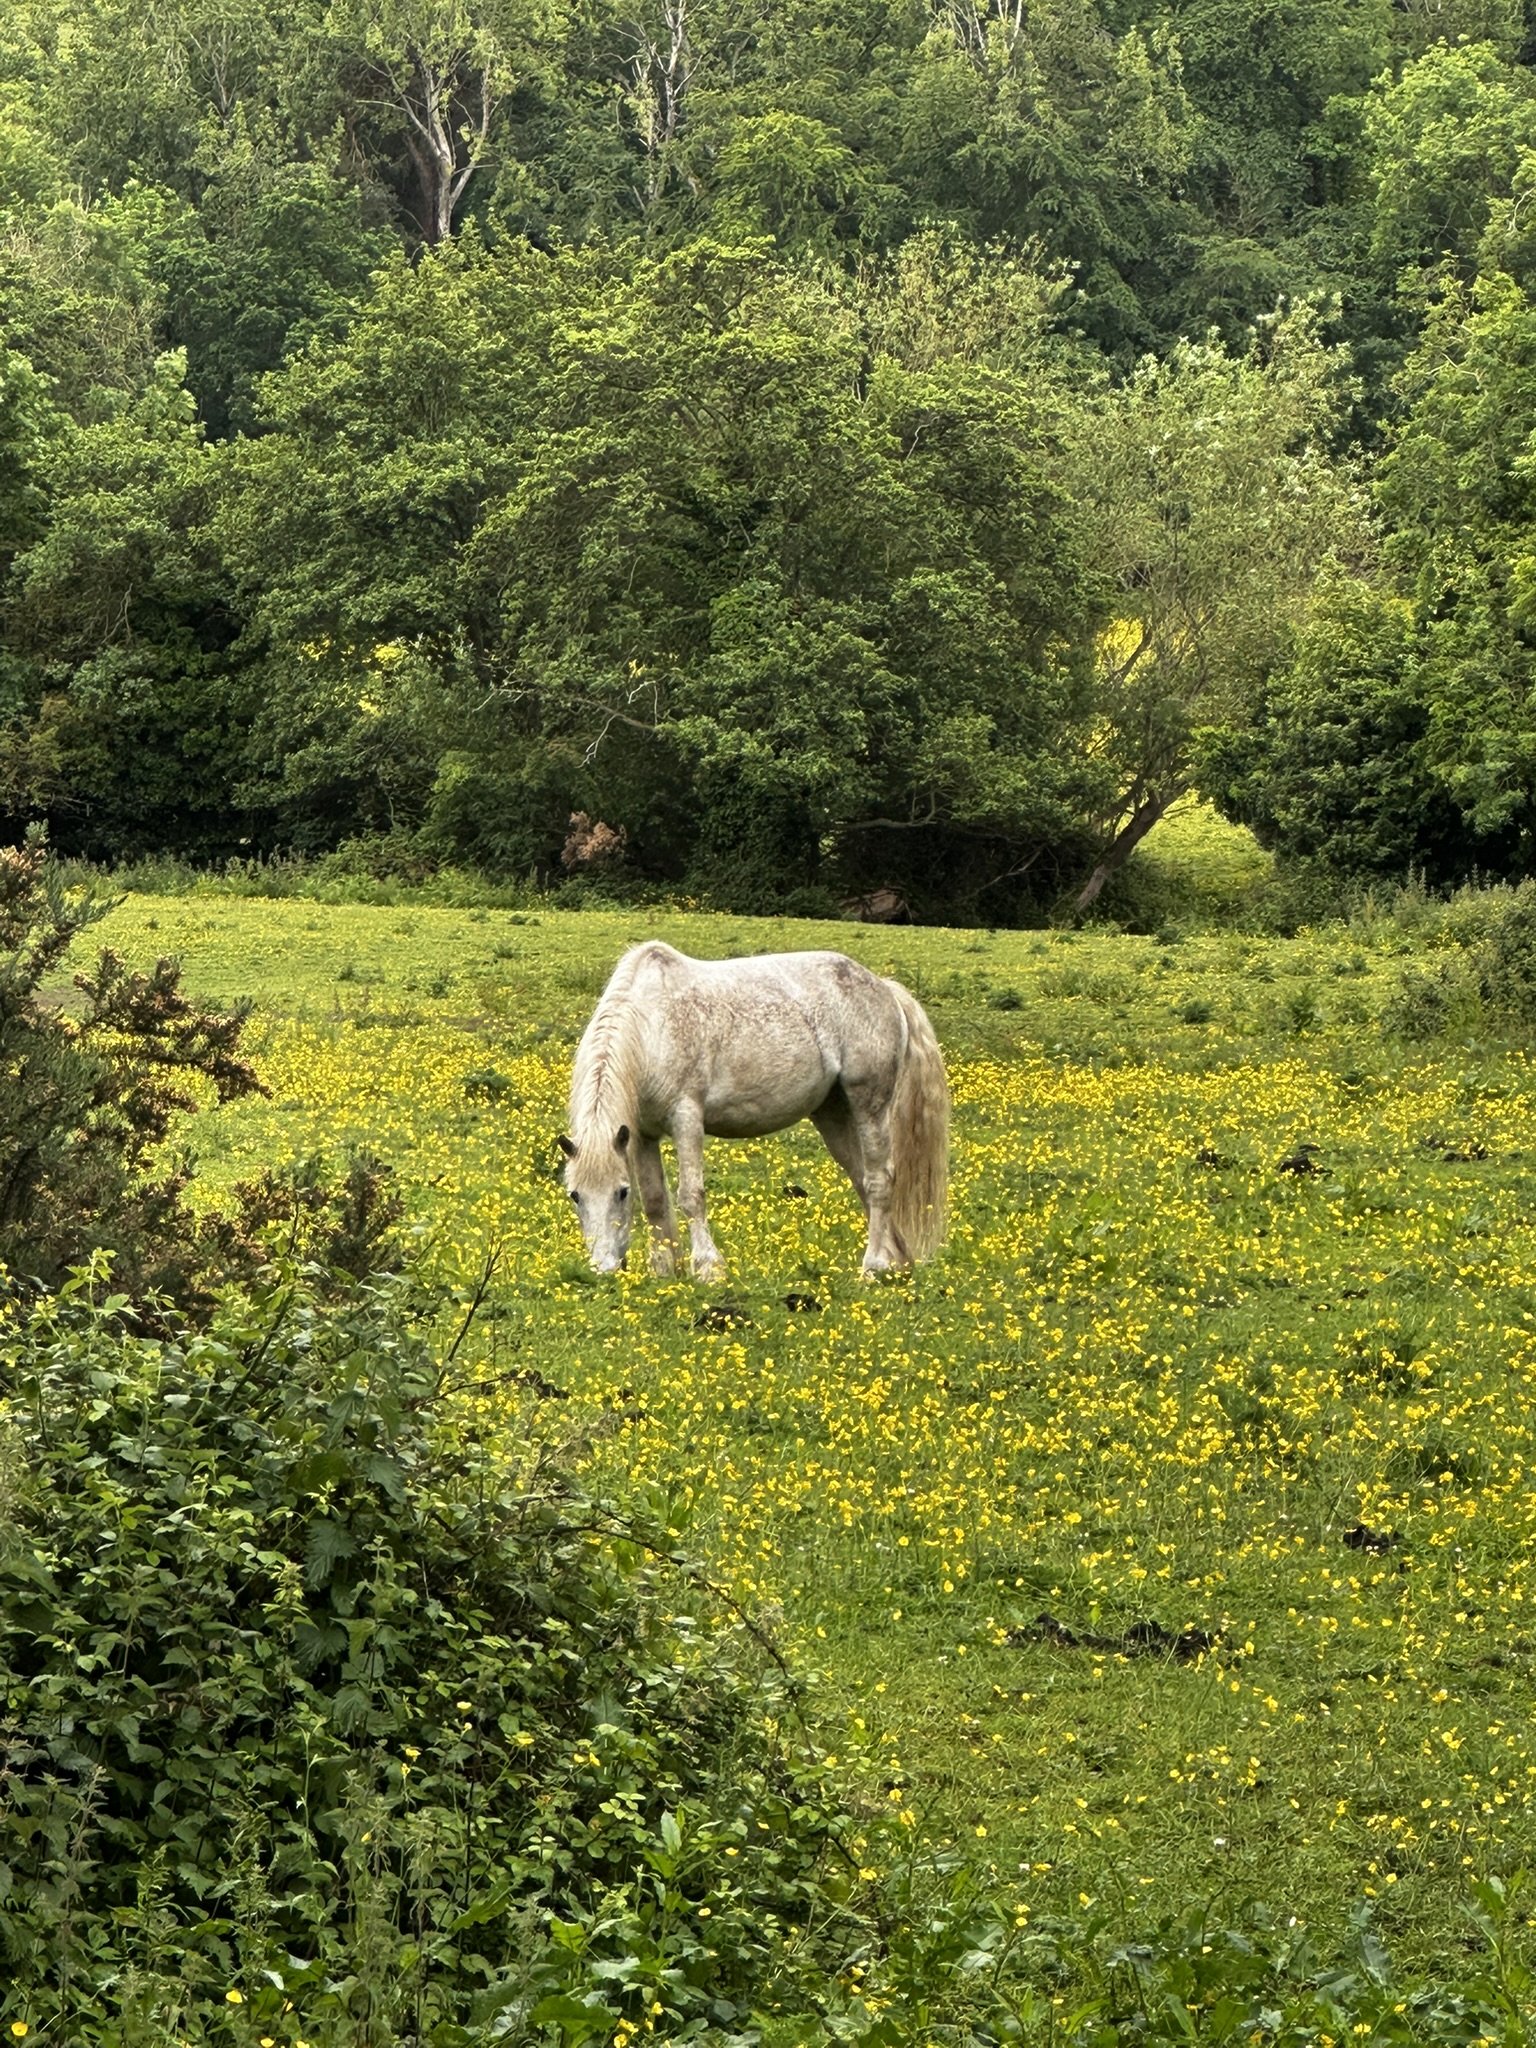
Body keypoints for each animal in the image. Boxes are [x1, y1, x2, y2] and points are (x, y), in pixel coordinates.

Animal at [559, 942, 949, 1280]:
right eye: (575, 1195)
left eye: (621, 1192)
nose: (604, 1268)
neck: (652, 1026)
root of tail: (884, 988)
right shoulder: (642, 1133)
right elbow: (656, 1200)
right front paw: (664, 1270)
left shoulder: (686, 1117)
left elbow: (691, 1195)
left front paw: (708, 1268)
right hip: (832, 1114)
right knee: (861, 1180)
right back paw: (897, 1262)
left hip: (870, 1102)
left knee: (879, 1180)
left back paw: (874, 1266)